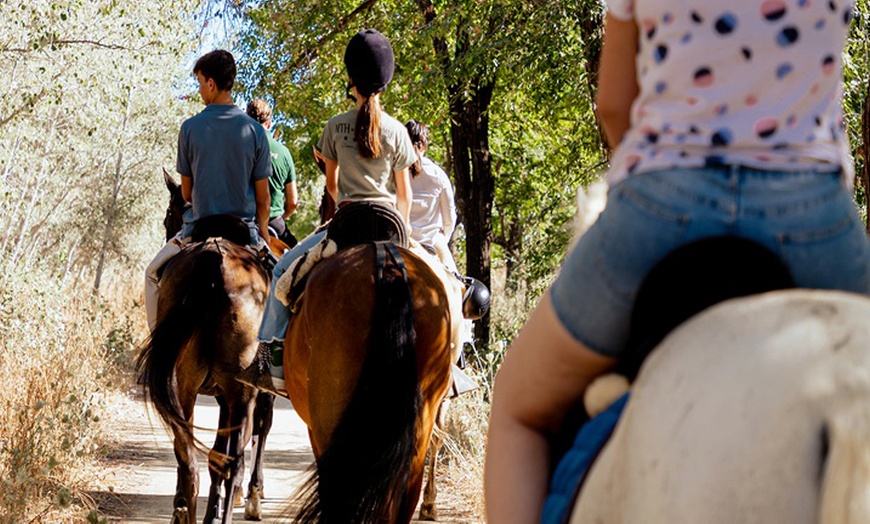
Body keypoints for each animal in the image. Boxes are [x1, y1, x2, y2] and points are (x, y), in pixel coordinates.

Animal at [136, 170, 277, 523]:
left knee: (188, 452)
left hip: (184, 383)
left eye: (167, 216)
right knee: (232, 457)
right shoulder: (242, 394)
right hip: (239, 391)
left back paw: (184, 509)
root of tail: (215, 256)